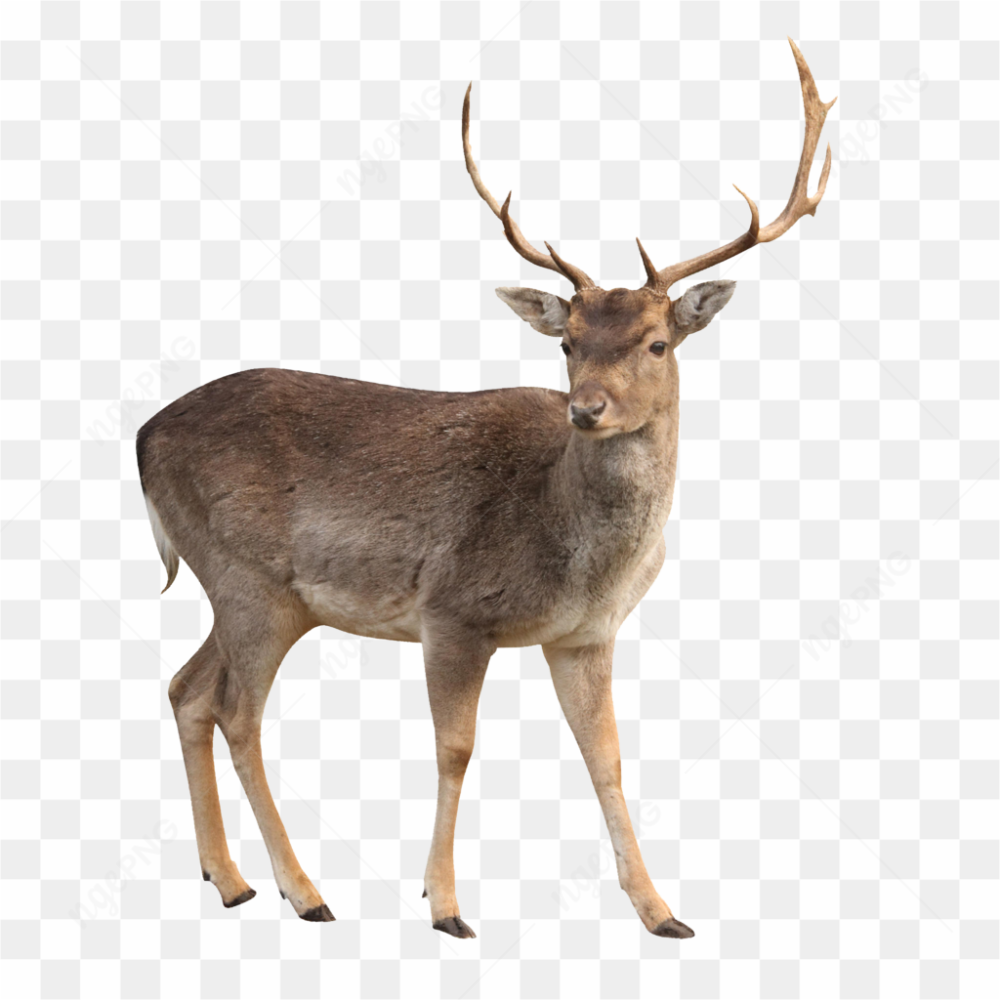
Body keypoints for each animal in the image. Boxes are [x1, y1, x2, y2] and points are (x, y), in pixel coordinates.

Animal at [138, 39, 834, 940]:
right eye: (568, 342)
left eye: (656, 342)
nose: (586, 409)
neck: (580, 556)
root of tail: (143, 437)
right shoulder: (453, 611)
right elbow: (456, 749)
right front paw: (445, 906)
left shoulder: (584, 635)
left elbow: (606, 756)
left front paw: (662, 912)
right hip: (248, 578)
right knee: (235, 711)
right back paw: (304, 890)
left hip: (257, 594)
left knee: (188, 689)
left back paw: (229, 879)